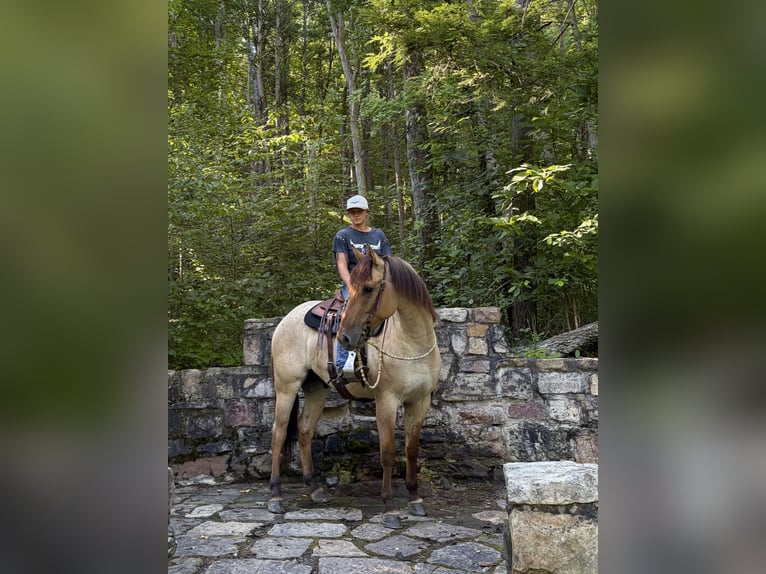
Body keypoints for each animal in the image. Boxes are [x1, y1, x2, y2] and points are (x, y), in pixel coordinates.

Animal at [267, 247, 441, 529]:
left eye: (369, 288)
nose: (345, 337)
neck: (411, 341)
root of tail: (286, 319)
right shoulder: (386, 401)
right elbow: (388, 453)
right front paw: (390, 508)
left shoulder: (420, 401)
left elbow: (411, 450)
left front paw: (415, 499)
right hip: (287, 387)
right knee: (279, 433)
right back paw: (275, 495)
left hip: (317, 389)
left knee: (304, 430)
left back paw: (314, 488)